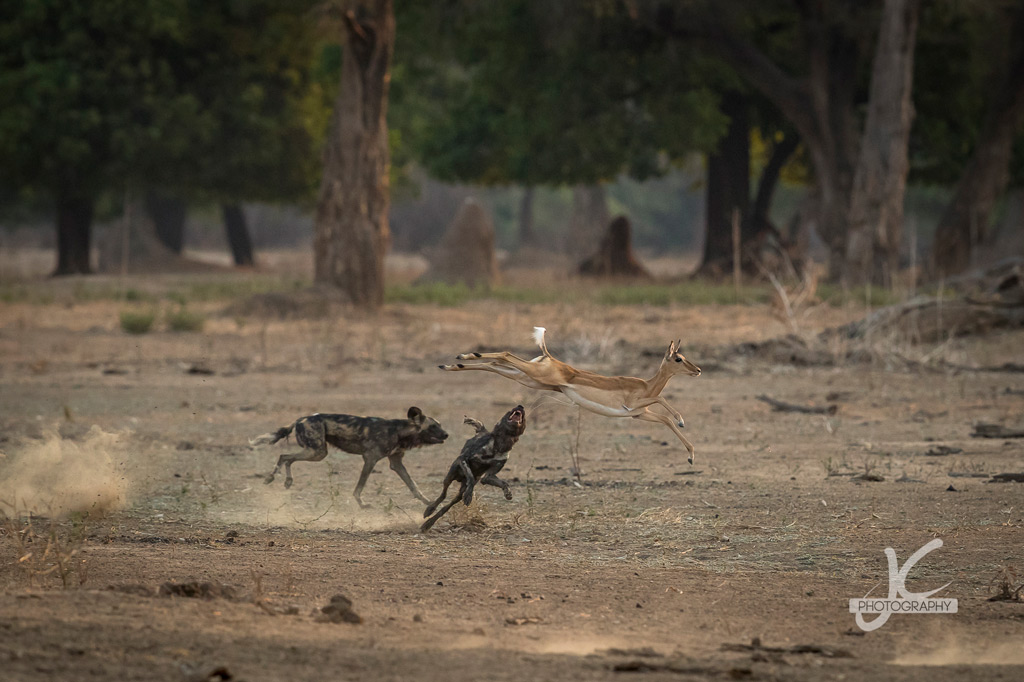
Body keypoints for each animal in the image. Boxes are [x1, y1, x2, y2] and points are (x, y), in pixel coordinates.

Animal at [249, 405, 446, 507]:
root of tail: (300, 419)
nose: (447, 434)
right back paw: (272, 478)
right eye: (433, 427)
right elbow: (359, 487)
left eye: (440, 425)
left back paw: (287, 481)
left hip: (316, 452)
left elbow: (413, 486)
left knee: (287, 457)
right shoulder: (370, 459)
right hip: (317, 452)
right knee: (284, 456)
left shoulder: (396, 462)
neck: (398, 431)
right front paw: (361, 504)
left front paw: (429, 503)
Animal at [419, 403, 524, 532]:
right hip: (450, 475)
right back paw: (430, 510)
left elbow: (504, 483)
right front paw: (469, 495)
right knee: (443, 494)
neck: (500, 445)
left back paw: (428, 523)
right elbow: (470, 476)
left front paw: (507, 493)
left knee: (448, 505)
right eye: (509, 411)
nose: (520, 406)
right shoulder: (463, 459)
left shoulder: (488, 476)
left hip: (459, 493)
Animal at [436, 323, 700, 462]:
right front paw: (683, 421)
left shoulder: (639, 414)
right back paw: (460, 357)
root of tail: (549, 357)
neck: (647, 384)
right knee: (505, 354)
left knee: (494, 364)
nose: (697, 370)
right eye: (678, 358)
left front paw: (690, 455)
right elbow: (663, 400)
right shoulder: (634, 404)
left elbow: (665, 419)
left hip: (527, 379)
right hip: (533, 375)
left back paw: (453, 364)